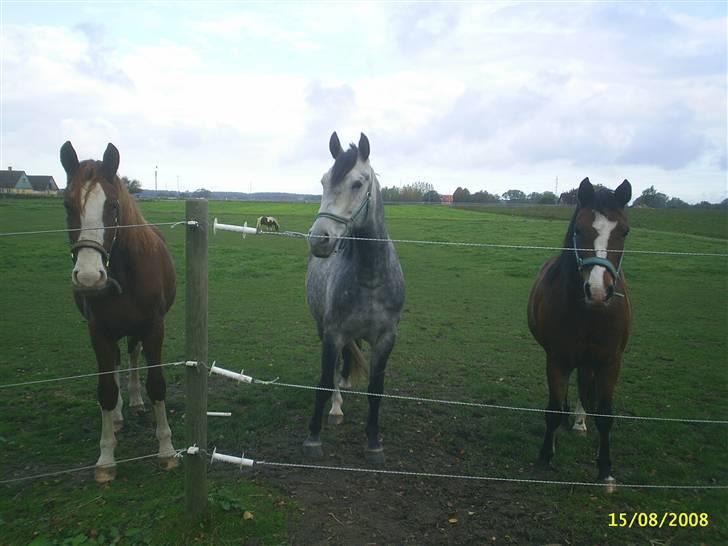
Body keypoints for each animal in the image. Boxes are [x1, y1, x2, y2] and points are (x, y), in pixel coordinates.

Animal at [59, 140, 178, 480]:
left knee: (133, 356)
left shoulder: (153, 327)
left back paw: (135, 402)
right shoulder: (98, 331)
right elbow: (106, 391)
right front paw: (106, 458)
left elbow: (156, 384)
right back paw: (117, 417)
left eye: (112, 206)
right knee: (114, 365)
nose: (89, 277)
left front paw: (166, 449)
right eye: (67, 205)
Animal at [302, 132, 404, 464]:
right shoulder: (332, 334)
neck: (370, 278)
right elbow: (324, 382)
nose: (319, 239)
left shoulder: (386, 338)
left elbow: (376, 389)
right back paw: (336, 408)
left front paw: (373, 443)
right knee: (334, 372)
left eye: (358, 184)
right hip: (323, 328)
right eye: (323, 181)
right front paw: (313, 438)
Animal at [528, 176, 632, 486]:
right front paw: (545, 456)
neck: (590, 313)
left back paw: (579, 423)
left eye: (624, 231)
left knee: (585, 383)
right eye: (579, 229)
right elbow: (552, 409)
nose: (598, 290)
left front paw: (605, 468)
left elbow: (606, 415)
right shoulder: (557, 358)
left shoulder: (610, 362)